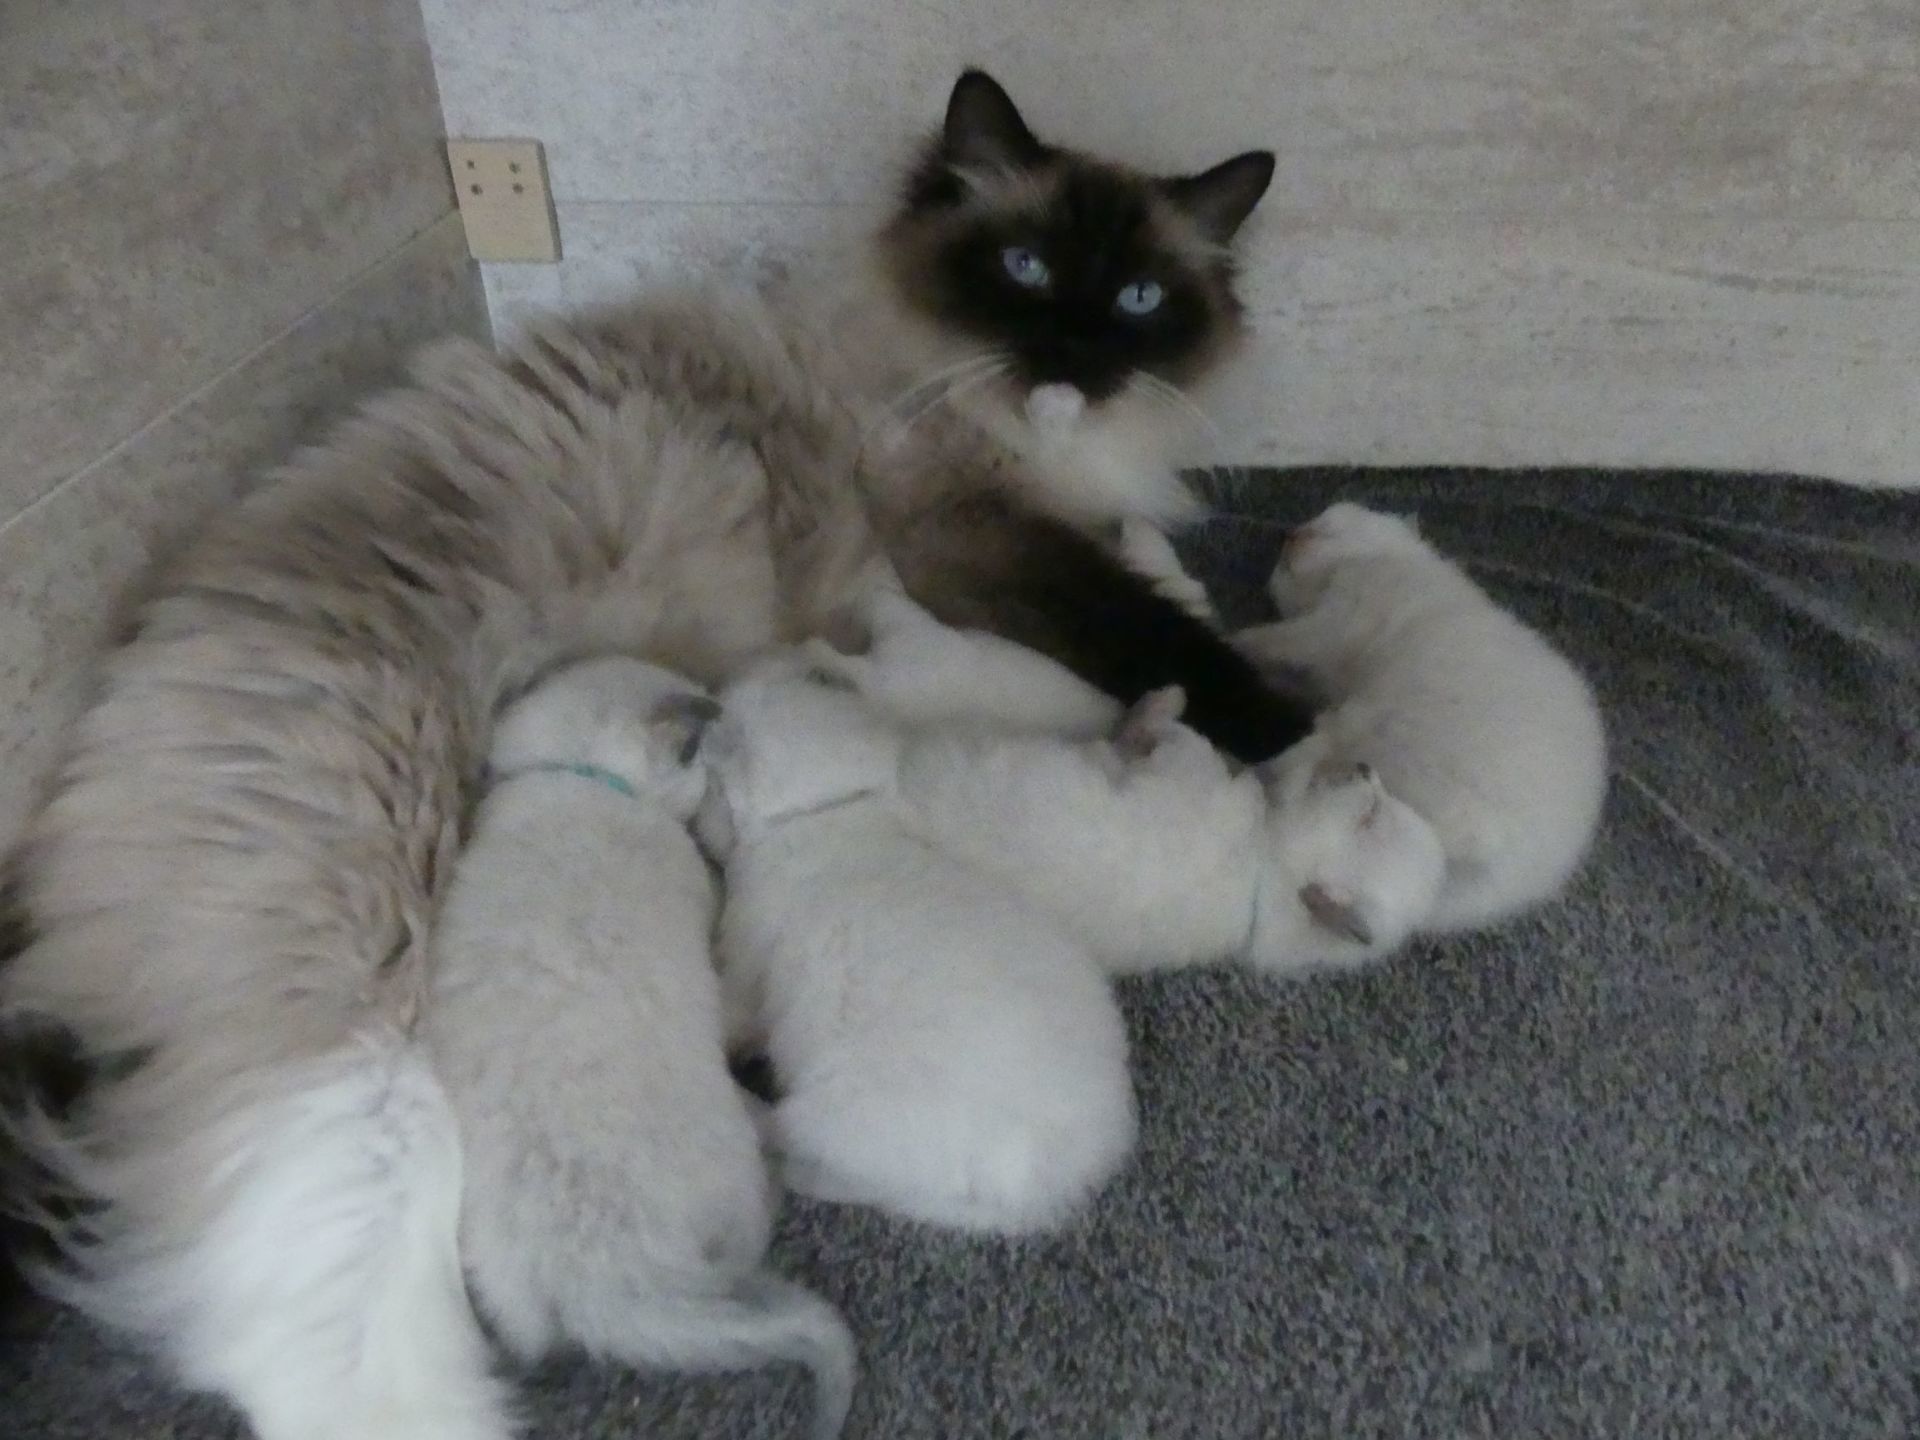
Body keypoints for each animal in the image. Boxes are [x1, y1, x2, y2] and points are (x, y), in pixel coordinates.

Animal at [427, 656, 854, 1440]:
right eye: (700, 756)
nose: (719, 710)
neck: (581, 778)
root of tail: (605, 1278)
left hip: (498, 1278)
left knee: (533, 1338)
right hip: (734, 1182)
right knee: (748, 1238)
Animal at [699, 655, 1137, 1234]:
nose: (711, 703)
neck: (827, 813)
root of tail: (1044, 1188)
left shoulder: (750, 959)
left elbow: (733, 1003)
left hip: (846, 1111)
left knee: (797, 1138)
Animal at [1238, 502, 1610, 932]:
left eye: (1323, 527)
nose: (1291, 536)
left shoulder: (1332, 625)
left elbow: (1273, 639)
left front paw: (1234, 640)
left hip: (1376, 736)